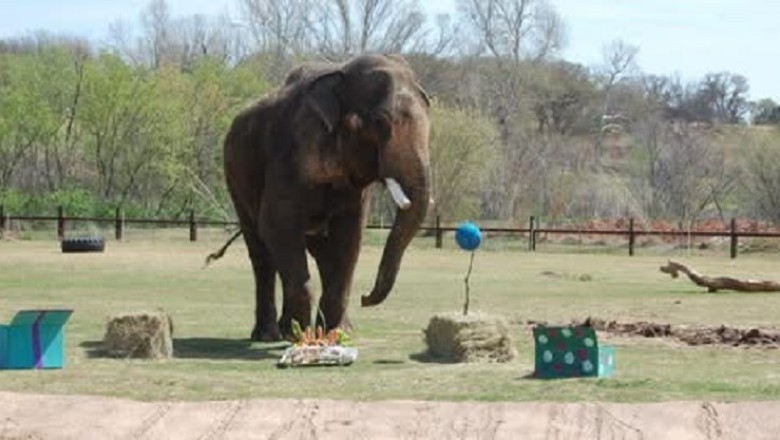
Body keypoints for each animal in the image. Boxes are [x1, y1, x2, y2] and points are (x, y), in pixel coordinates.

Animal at [208, 54, 432, 341]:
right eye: (379, 123)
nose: (365, 298)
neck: (340, 75)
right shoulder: (287, 154)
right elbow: (276, 226)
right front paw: (299, 336)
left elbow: (350, 236)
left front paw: (331, 336)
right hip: (235, 176)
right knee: (261, 251)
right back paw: (270, 335)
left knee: (322, 254)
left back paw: (335, 329)